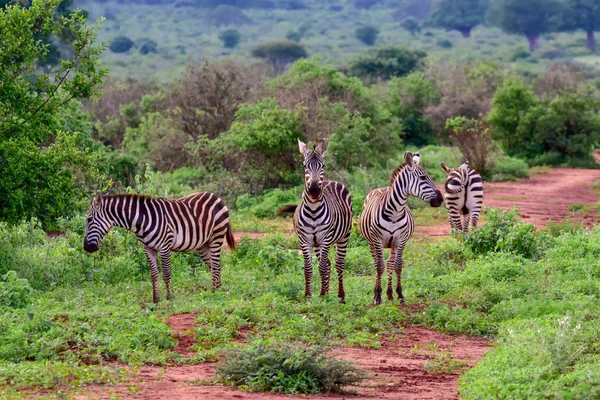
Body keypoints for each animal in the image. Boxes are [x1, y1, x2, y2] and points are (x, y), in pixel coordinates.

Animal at [83, 191, 236, 304]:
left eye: (89, 220)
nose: (87, 248)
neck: (142, 221)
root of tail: (214, 196)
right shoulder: (148, 249)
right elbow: (154, 274)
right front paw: (156, 299)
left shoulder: (164, 246)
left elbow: (166, 274)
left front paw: (169, 297)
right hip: (203, 244)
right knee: (215, 265)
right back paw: (217, 289)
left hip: (217, 236)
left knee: (215, 265)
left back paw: (214, 292)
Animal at [276, 139, 352, 302]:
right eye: (305, 166)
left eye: (323, 165)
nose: (315, 191)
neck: (313, 210)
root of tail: (331, 181)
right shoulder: (304, 241)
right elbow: (308, 268)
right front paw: (308, 295)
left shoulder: (326, 239)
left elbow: (322, 267)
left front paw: (322, 295)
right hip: (317, 244)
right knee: (328, 264)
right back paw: (328, 292)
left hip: (343, 237)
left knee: (339, 264)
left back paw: (341, 296)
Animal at [358, 152, 442, 304]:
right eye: (423, 177)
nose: (440, 199)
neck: (394, 212)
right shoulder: (378, 240)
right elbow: (380, 266)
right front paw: (377, 297)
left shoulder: (400, 240)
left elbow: (398, 265)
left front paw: (400, 294)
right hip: (370, 242)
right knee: (376, 263)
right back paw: (376, 294)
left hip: (392, 244)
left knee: (390, 263)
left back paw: (390, 295)